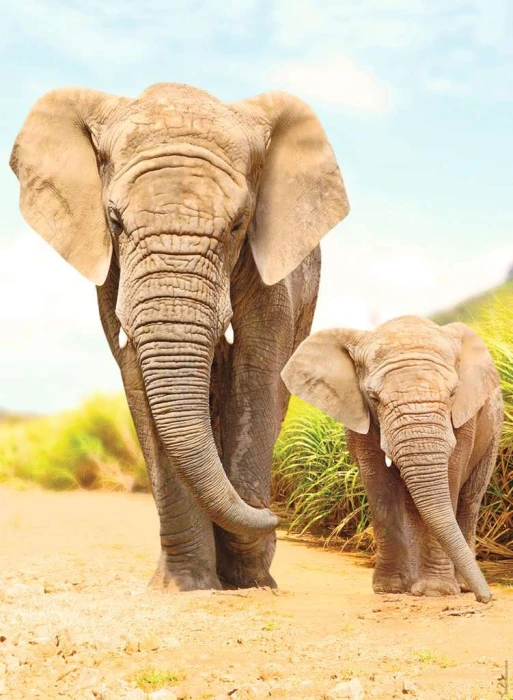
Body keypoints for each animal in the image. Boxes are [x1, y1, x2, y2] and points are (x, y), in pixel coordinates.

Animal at [10, 82, 349, 591]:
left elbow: (256, 370)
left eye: (239, 223)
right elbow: (137, 377)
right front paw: (185, 586)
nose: (275, 516)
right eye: (114, 221)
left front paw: (250, 578)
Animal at [282, 316, 503, 603]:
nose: (486, 598)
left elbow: (451, 477)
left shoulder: (465, 419)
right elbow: (380, 486)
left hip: (493, 433)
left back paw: (460, 586)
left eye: (453, 393)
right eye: (374, 397)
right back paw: (414, 585)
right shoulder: (359, 416)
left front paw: (435, 592)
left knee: (469, 500)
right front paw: (390, 589)